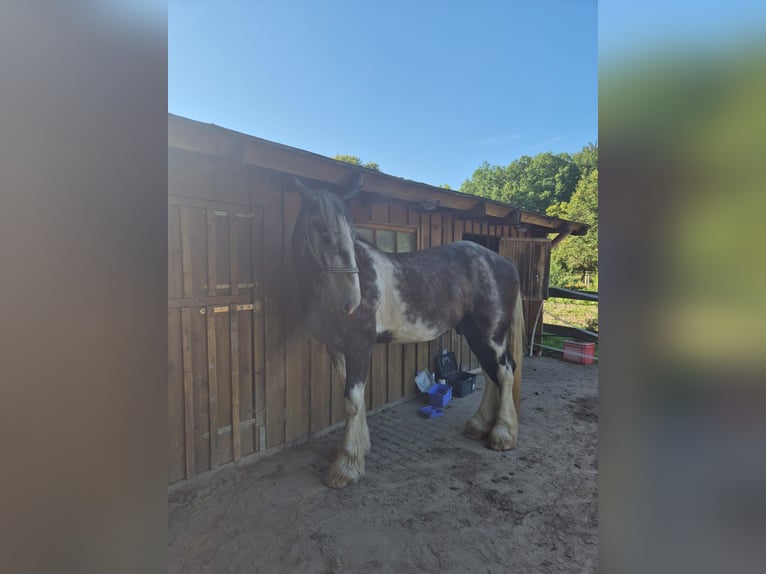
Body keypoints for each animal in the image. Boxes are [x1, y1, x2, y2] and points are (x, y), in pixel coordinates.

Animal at [291, 175, 524, 488]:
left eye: (352, 234)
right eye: (324, 234)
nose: (350, 302)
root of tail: (504, 262)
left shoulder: (359, 345)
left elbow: (352, 401)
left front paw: (347, 465)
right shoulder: (336, 348)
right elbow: (353, 398)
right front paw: (361, 447)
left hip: (494, 333)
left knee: (505, 372)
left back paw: (503, 435)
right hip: (474, 333)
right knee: (490, 374)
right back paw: (478, 426)